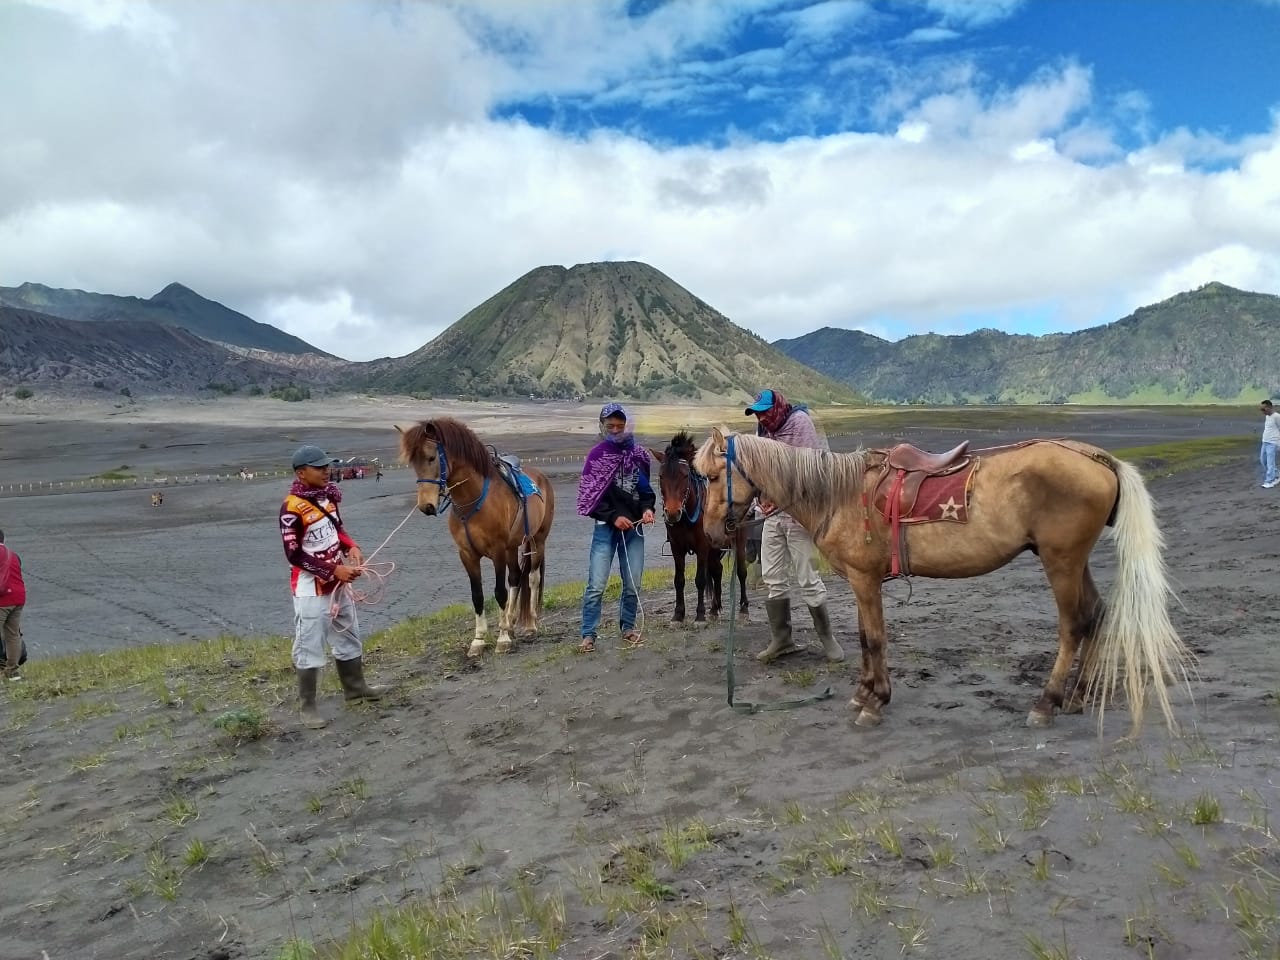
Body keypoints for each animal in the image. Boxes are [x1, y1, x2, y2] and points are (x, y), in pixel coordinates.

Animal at [394, 419, 555, 660]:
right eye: (412, 462)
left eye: (431, 457)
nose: (426, 505)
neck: (473, 500)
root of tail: (540, 477)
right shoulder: (467, 554)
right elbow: (477, 596)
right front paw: (479, 640)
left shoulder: (497, 551)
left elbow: (499, 592)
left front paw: (502, 639)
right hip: (513, 546)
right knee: (516, 577)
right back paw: (510, 621)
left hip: (537, 540)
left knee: (532, 578)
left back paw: (529, 626)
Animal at [650, 432, 747, 627]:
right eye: (661, 476)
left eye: (685, 475)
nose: (673, 512)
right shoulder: (676, 547)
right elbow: (679, 580)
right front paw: (678, 615)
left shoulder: (702, 546)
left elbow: (700, 580)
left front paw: (700, 615)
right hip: (715, 547)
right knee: (717, 570)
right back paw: (715, 609)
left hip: (739, 539)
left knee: (741, 571)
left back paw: (743, 609)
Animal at [696, 430, 1192, 737]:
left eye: (716, 475)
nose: (713, 532)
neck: (839, 493)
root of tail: (1097, 458)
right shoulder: (859, 581)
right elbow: (864, 637)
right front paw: (863, 694)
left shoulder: (865, 580)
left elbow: (875, 638)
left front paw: (875, 701)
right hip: (1073, 560)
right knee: (1096, 615)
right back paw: (1079, 696)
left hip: (1062, 561)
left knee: (1073, 625)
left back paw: (1047, 703)